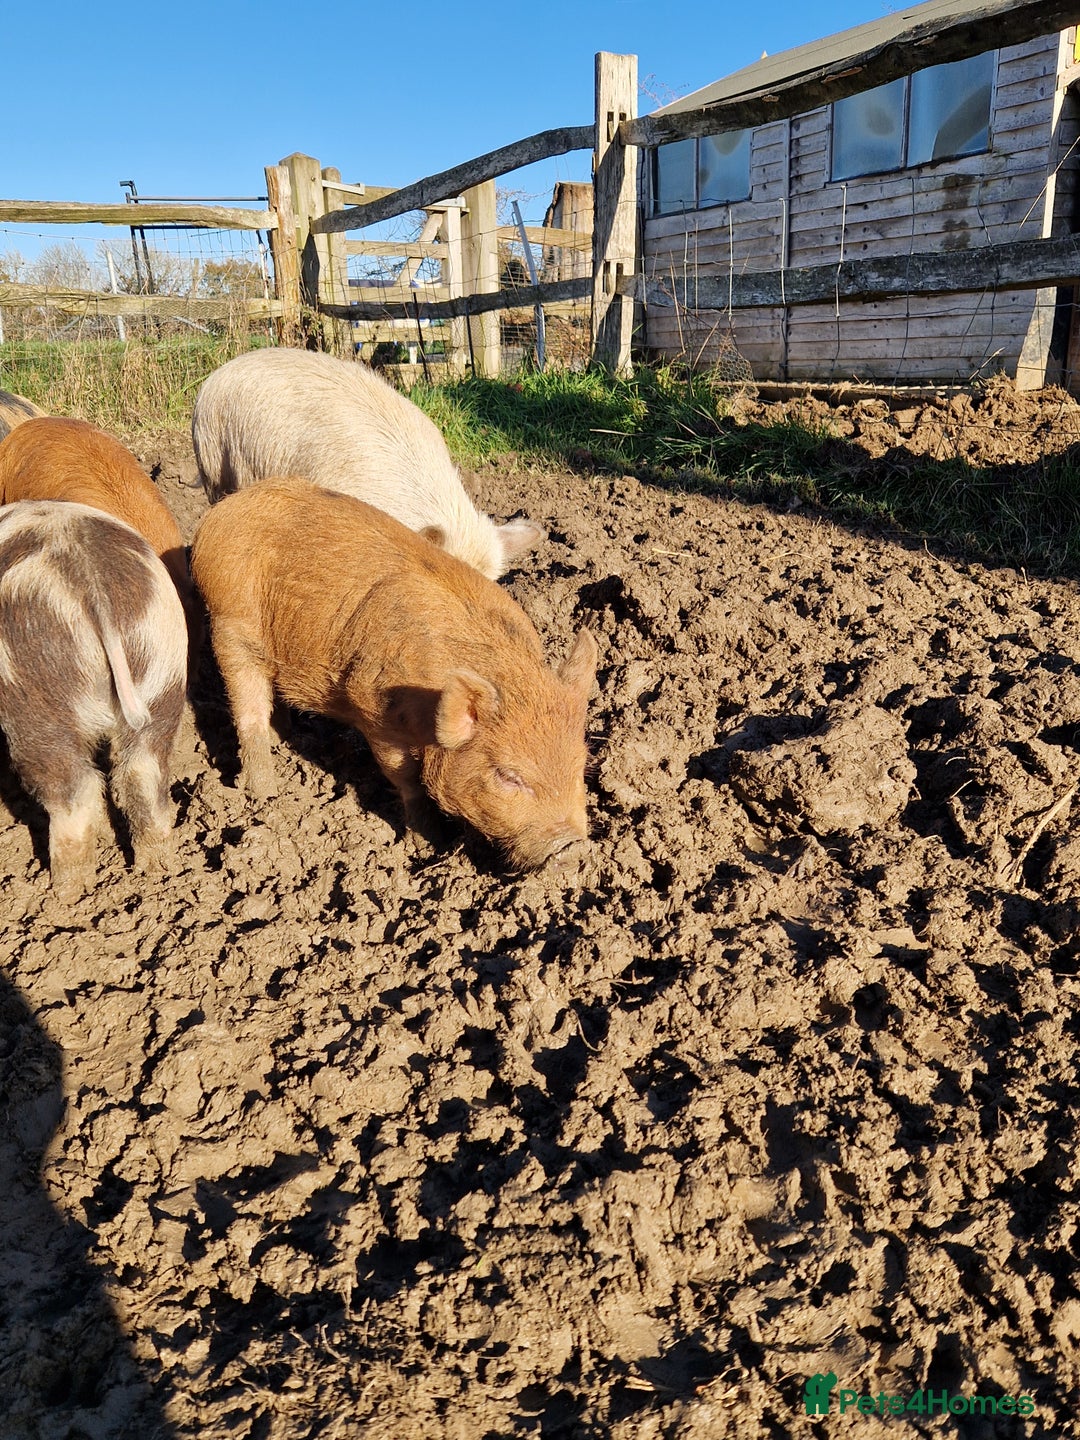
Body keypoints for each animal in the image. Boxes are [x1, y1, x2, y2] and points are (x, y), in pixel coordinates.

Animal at [0, 500, 188, 898]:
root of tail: (91, 583)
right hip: (162, 665)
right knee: (143, 770)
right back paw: (158, 869)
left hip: (36, 690)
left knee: (71, 787)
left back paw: (66, 893)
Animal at [191, 478, 597, 871]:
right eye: (508, 776)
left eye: (580, 767)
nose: (574, 848)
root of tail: (223, 512)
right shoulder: (374, 709)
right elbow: (407, 779)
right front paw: (428, 843)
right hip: (230, 625)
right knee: (249, 712)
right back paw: (264, 796)